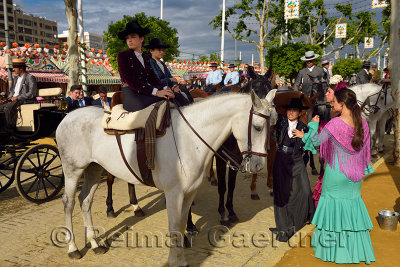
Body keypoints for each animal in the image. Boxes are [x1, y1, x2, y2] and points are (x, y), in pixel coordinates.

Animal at [54, 90, 276, 267]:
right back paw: (73, 248)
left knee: (85, 201)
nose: (258, 166)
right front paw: (172, 262)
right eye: (257, 127)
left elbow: (181, 225)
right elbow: (173, 227)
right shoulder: (173, 194)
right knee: (69, 203)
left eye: (273, 125)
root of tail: (68, 116)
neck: (189, 138)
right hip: (73, 171)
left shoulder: (189, 193)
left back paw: (94, 244)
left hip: (94, 169)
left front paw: (183, 260)